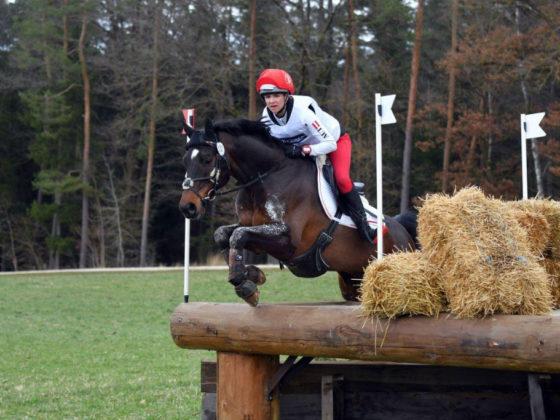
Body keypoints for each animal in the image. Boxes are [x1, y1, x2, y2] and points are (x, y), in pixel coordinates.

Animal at [178, 118, 416, 306]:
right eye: (185, 160)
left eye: (206, 159)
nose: (187, 207)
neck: (267, 176)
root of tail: (402, 229)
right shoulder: (252, 227)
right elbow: (225, 235)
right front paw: (251, 275)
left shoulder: (289, 240)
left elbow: (238, 236)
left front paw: (246, 285)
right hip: (352, 280)